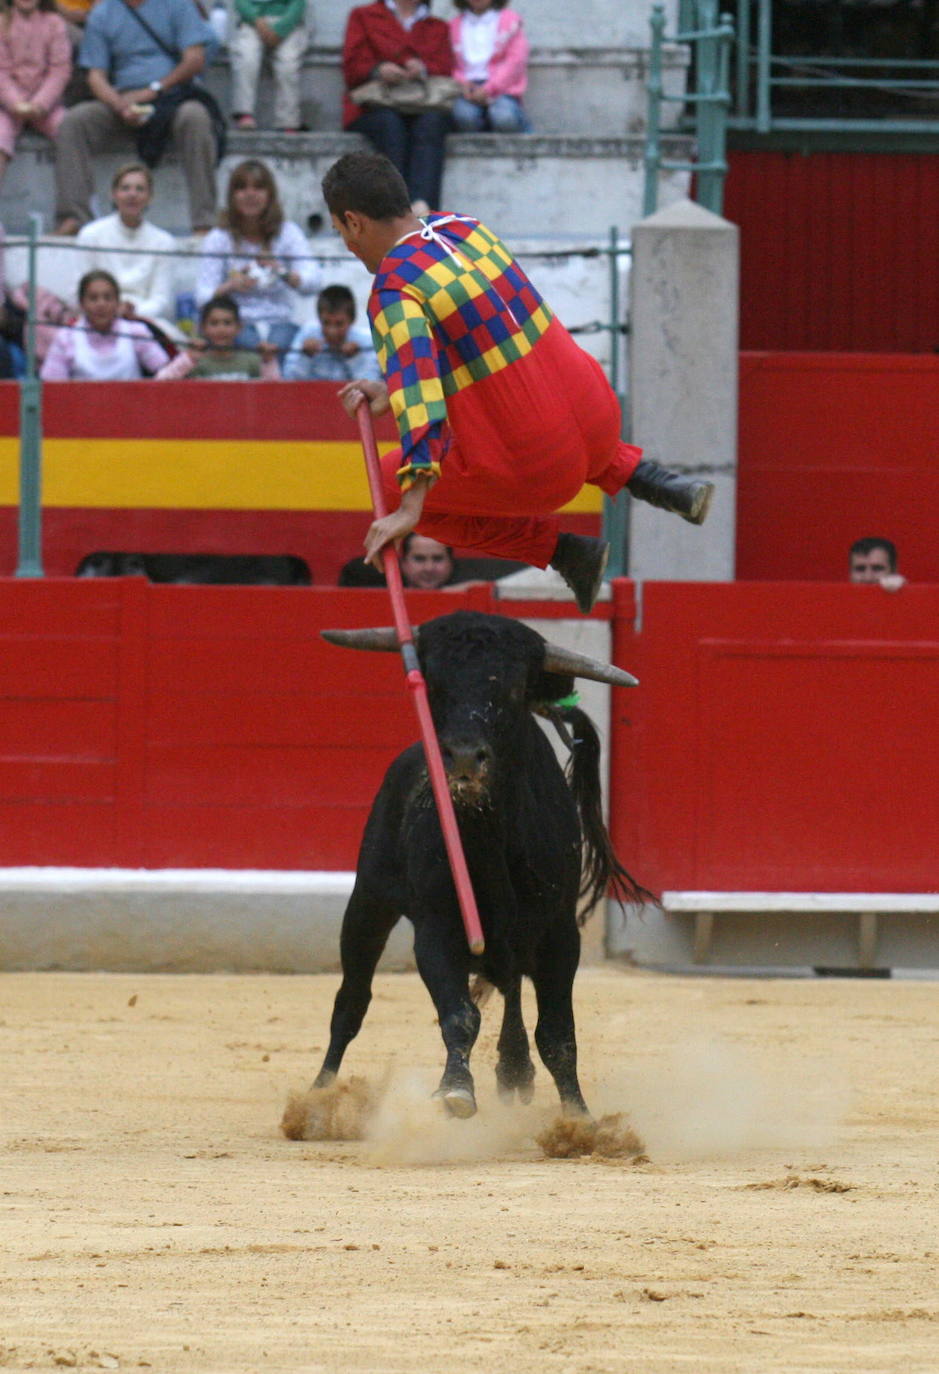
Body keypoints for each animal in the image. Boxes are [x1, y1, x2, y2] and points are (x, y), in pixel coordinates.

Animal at [312, 612, 648, 1115]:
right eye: (433, 683)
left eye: (514, 687)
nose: (465, 757)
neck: (492, 840)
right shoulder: (438, 929)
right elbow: (459, 1015)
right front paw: (455, 1088)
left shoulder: (559, 934)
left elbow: (558, 1035)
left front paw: (578, 1116)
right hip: (368, 902)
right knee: (352, 1000)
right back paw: (318, 1095)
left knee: (511, 988)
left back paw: (515, 1071)